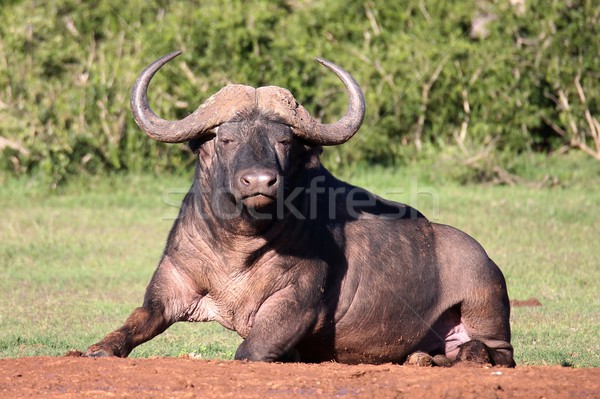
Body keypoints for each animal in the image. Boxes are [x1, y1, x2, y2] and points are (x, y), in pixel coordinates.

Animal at [85, 51, 516, 368]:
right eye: (225, 139)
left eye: (283, 141)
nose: (260, 181)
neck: (237, 246)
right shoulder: (171, 286)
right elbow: (136, 321)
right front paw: (97, 348)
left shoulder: (299, 302)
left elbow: (250, 351)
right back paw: (422, 358)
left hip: (484, 302)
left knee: (498, 353)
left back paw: (462, 356)